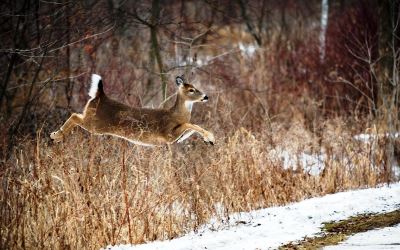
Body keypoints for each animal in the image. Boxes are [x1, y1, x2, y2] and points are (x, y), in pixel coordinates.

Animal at [50, 73, 216, 146]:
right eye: (191, 90)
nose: (206, 96)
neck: (177, 115)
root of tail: (100, 95)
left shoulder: (173, 138)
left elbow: (191, 127)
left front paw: (207, 139)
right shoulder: (168, 134)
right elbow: (191, 124)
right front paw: (211, 137)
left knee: (76, 115)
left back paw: (55, 135)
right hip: (96, 124)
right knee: (74, 116)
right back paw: (55, 135)